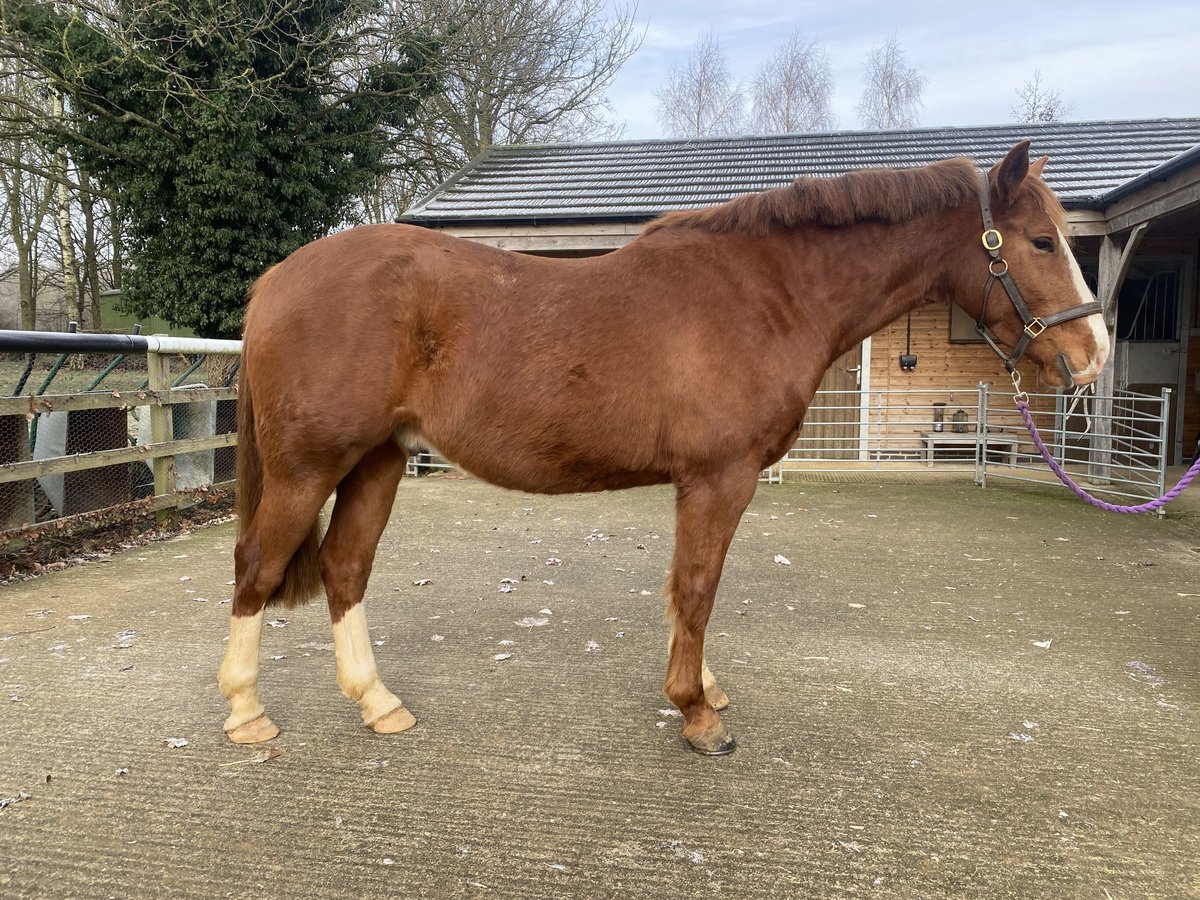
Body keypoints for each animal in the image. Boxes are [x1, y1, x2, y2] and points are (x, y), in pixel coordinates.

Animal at [218, 142, 1104, 753]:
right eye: (1039, 242)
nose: (1091, 356)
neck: (767, 293)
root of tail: (276, 281)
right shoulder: (720, 477)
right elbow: (700, 587)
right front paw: (698, 716)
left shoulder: (700, 482)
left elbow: (684, 591)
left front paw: (703, 687)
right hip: (309, 468)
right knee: (258, 567)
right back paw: (246, 712)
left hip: (379, 461)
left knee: (344, 569)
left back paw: (379, 704)